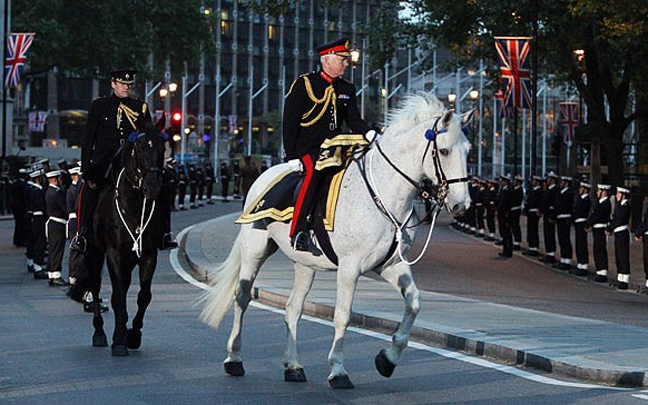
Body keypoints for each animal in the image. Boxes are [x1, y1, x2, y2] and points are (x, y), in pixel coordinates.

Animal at [199, 91, 470, 388]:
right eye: (444, 151)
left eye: (469, 150)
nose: (462, 205)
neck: (385, 193)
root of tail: (264, 175)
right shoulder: (350, 267)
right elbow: (343, 315)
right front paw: (338, 370)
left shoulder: (392, 265)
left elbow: (414, 302)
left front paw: (387, 359)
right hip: (254, 251)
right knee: (242, 297)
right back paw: (234, 359)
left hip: (304, 264)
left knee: (293, 308)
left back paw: (293, 366)